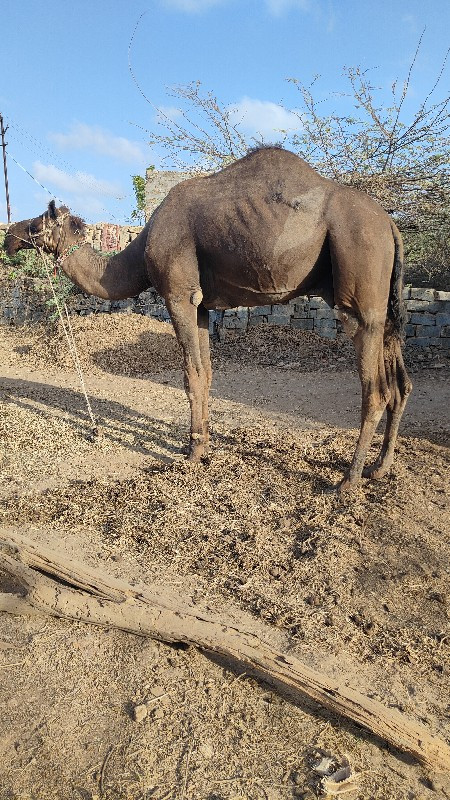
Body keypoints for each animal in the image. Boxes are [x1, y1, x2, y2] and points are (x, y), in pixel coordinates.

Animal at [3, 147, 412, 490]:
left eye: (37, 224)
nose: (10, 236)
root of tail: (391, 227)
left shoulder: (179, 294)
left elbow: (191, 375)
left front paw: (193, 452)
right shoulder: (200, 305)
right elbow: (208, 372)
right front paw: (204, 445)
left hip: (360, 281)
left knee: (376, 389)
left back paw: (349, 480)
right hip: (384, 306)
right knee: (400, 384)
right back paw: (380, 467)